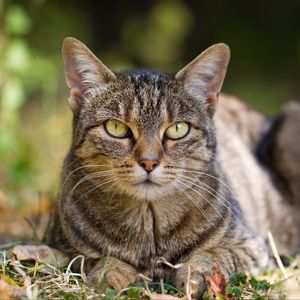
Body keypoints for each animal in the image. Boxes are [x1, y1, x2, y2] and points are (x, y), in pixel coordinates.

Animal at [48, 37, 298, 298]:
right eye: (116, 128)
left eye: (177, 129)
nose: (149, 162)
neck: (149, 227)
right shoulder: (59, 245)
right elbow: (90, 258)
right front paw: (112, 272)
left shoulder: (251, 247)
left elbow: (214, 255)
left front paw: (197, 273)